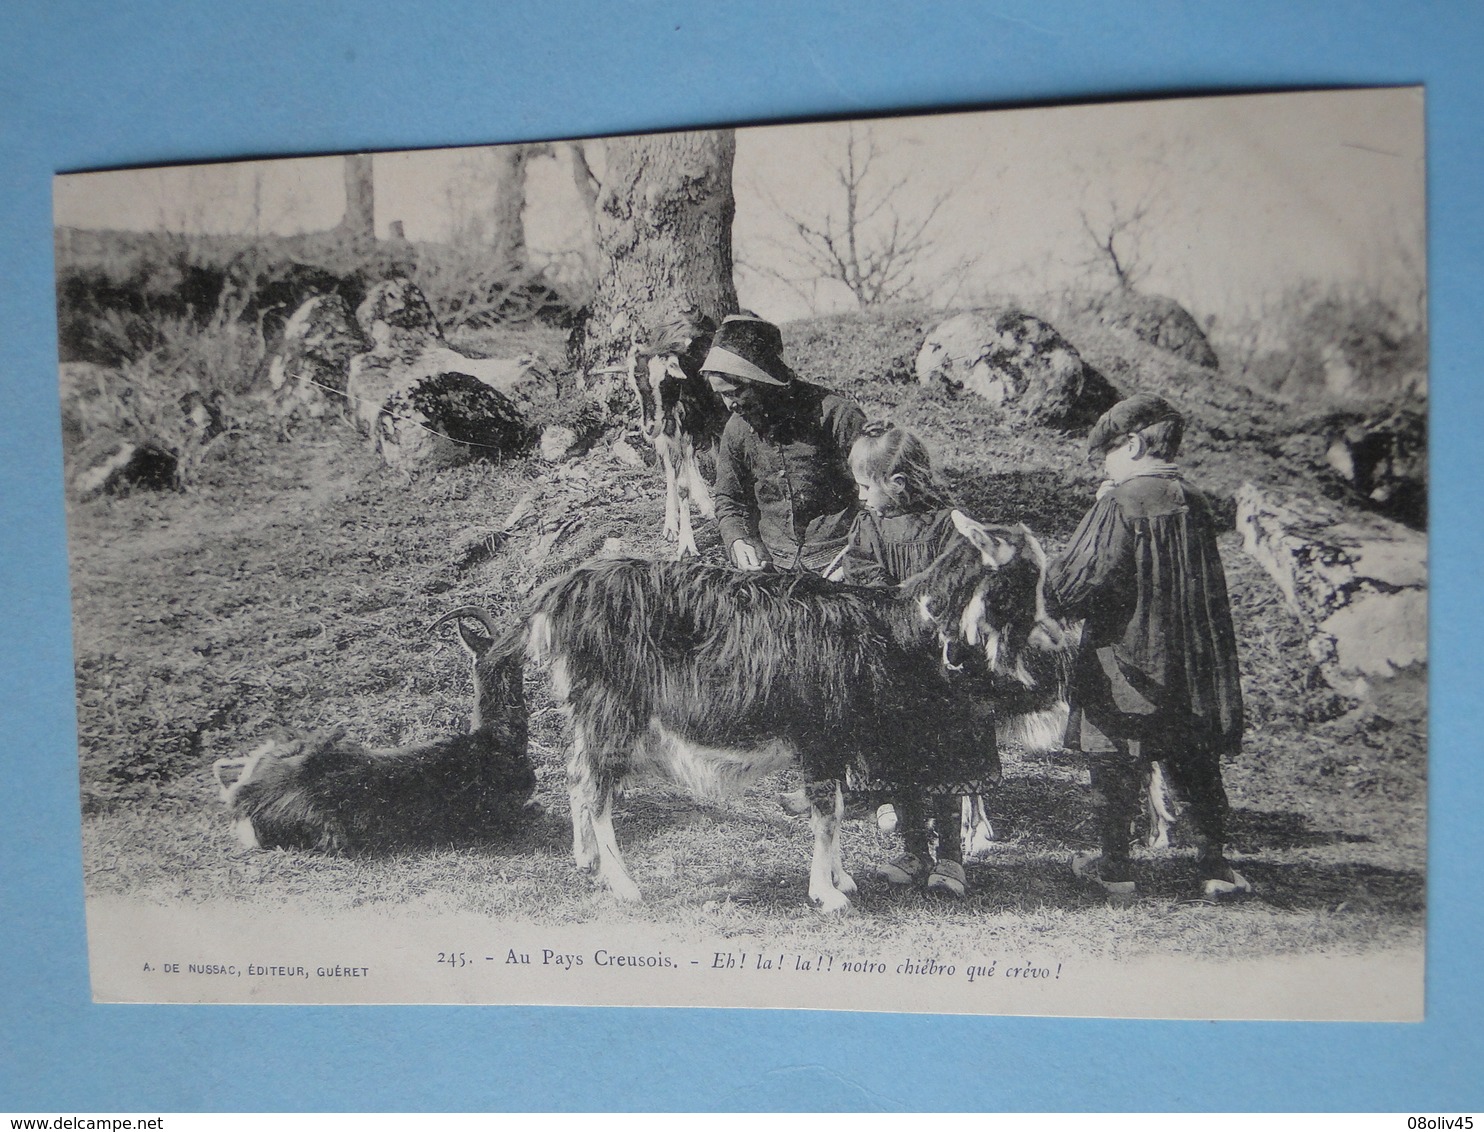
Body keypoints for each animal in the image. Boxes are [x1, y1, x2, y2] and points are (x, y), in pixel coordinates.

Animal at [519, 510, 1068, 913]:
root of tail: (558, 597)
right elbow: (826, 810)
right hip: (612, 712)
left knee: (575, 773)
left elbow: (838, 807)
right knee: (597, 791)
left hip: (586, 715)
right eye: (1027, 575)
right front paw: (826, 895)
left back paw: (586, 860)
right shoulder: (820, 734)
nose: (1057, 643)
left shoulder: (837, 739)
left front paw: (841, 879)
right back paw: (624, 884)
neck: (890, 627)